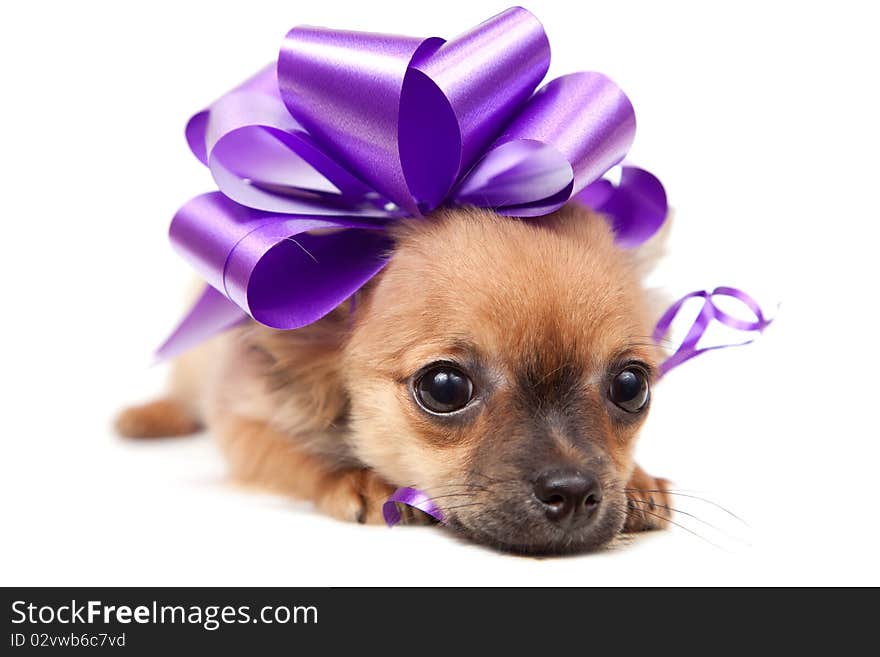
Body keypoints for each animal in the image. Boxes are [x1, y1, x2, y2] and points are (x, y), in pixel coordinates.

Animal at [115, 205, 668, 552]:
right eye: (445, 388)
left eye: (630, 387)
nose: (571, 492)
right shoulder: (243, 421)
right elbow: (291, 454)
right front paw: (356, 477)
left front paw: (639, 481)